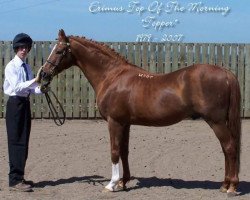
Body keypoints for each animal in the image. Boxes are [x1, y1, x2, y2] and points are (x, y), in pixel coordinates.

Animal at [41, 29, 240, 195]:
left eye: (59, 51)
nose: (43, 74)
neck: (112, 76)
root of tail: (226, 73)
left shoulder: (114, 122)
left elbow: (114, 151)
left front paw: (111, 184)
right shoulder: (125, 123)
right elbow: (124, 151)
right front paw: (123, 182)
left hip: (216, 121)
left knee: (229, 147)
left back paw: (231, 187)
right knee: (226, 149)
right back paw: (224, 185)